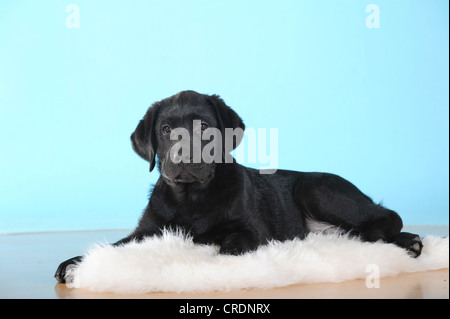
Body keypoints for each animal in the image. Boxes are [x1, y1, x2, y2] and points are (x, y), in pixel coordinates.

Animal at [54, 90, 424, 282]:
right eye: (166, 129)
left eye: (204, 126)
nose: (182, 152)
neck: (192, 197)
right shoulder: (147, 232)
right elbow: (114, 246)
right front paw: (75, 264)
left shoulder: (252, 229)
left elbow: (231, 243)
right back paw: (411, 243)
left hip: (316, 189)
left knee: (385, 217)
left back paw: (387, 239)